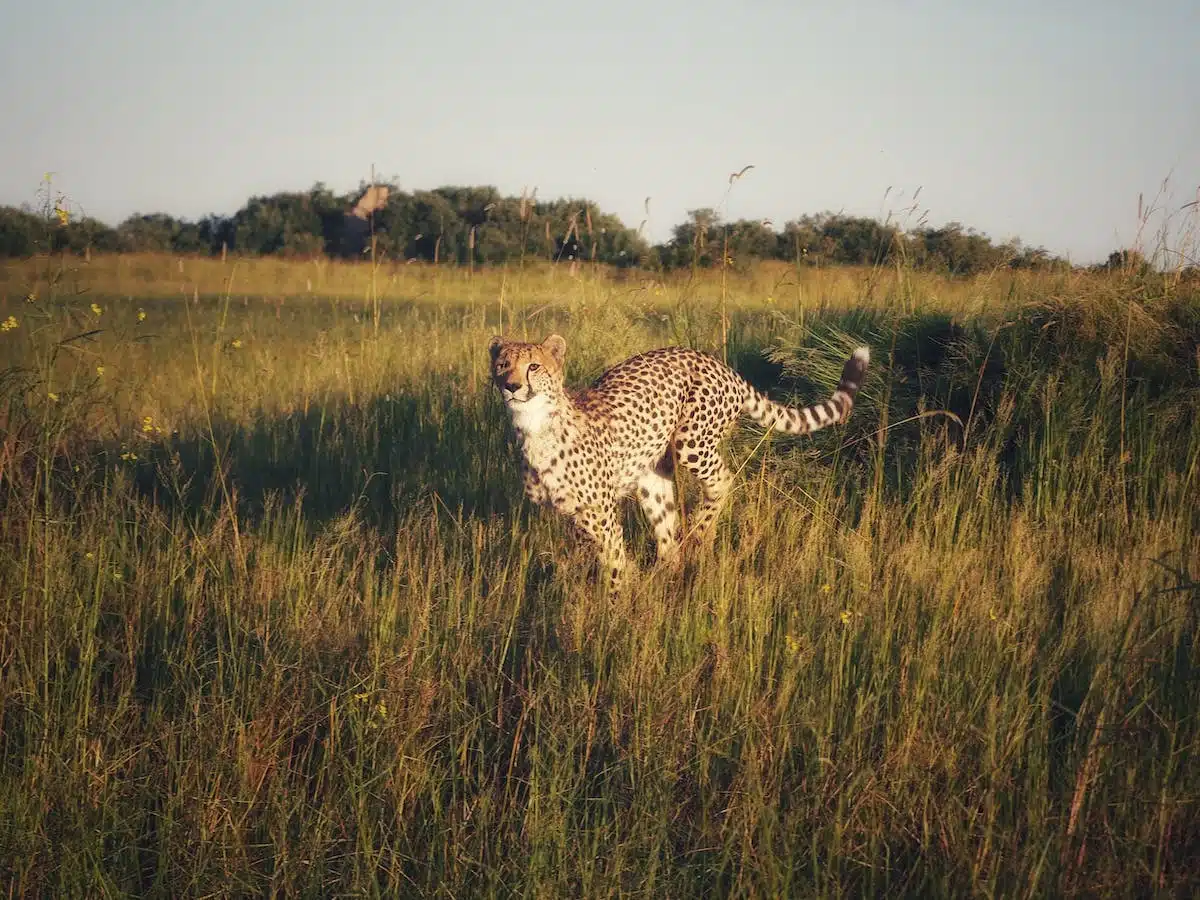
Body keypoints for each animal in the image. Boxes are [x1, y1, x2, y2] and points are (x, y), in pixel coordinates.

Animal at [487, 336, 873, 588]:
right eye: (503, 365)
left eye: (533, 366)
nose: (510, 386)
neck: (534, 425)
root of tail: (713, 362)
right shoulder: (573, 514)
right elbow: (609, 556)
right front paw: (627, 586)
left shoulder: (601, 512)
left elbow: (613, 564)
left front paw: (612, 618)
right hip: (652, 476)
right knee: (667, 533)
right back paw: (667, 572)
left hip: (692, 442)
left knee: (723, 479)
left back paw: (700, 534)